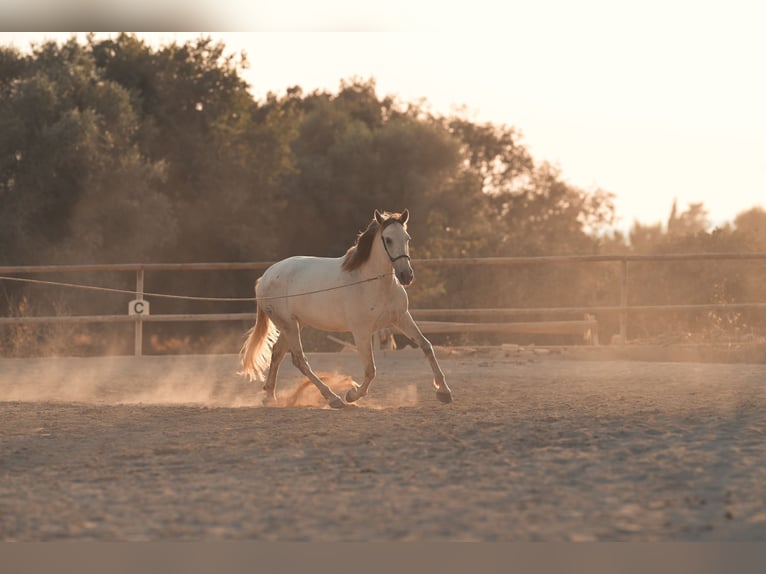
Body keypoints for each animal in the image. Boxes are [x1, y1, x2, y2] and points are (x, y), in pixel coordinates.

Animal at [240, 209, 453, 408]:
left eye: (407, 238)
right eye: (388, 239)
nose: (406, 276)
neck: (372, 282)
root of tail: (266, 277)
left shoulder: (401, 318)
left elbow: (426, 346)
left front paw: (444, 392)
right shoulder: (361, 331)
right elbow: (370, 370)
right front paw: (352, 394)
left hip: (296, 324)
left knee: (277, 352)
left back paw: (270, 396)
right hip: (289, 325)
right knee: (299, 359)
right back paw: (333, 398)